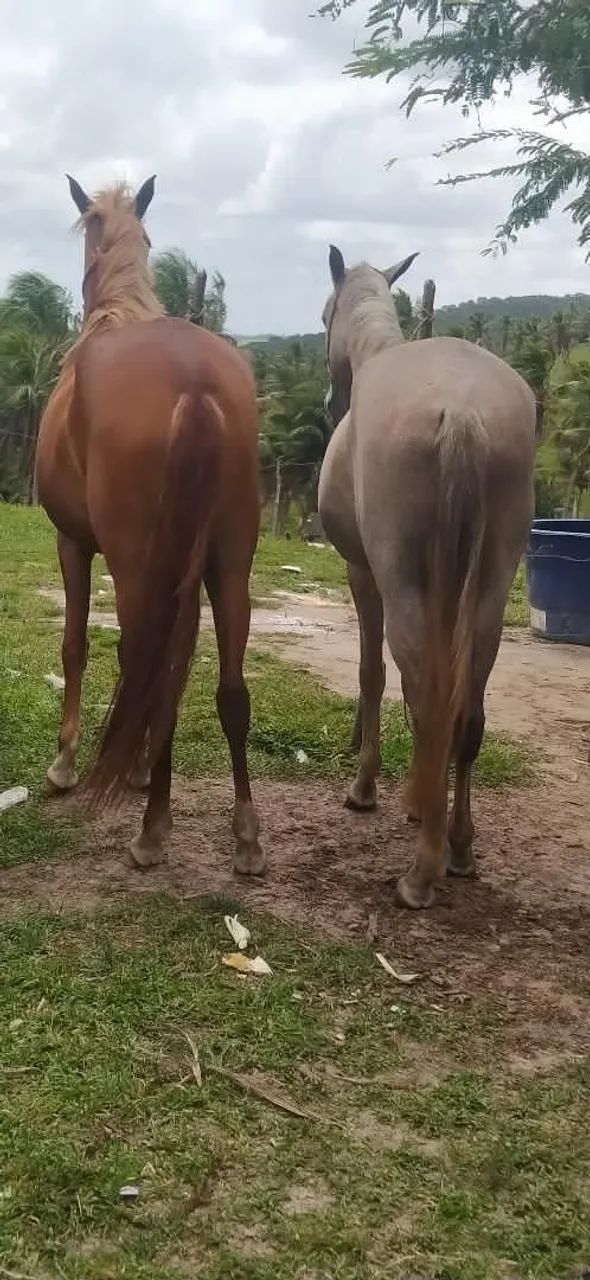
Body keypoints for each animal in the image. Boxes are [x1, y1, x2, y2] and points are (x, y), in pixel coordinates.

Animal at [36, 176, 264, 877]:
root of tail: (195, 381)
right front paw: (136, 766)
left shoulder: (74, 543)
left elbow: (76, 645)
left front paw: (65, 764)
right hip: (229, 565)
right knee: (227, 688)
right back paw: (246, 838)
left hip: (139, 566)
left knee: (152, 664)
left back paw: (151, 831)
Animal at [318, 246, 535, 909]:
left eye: (323, 315)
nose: (329, 403)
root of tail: (463, 412)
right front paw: (420, 801)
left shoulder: (364, 574)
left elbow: (374, 676)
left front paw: (368, 789)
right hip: (488, 595)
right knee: (464, 715)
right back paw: (457, 848)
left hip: (405, 588)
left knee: (429, 695)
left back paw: (421, 873)